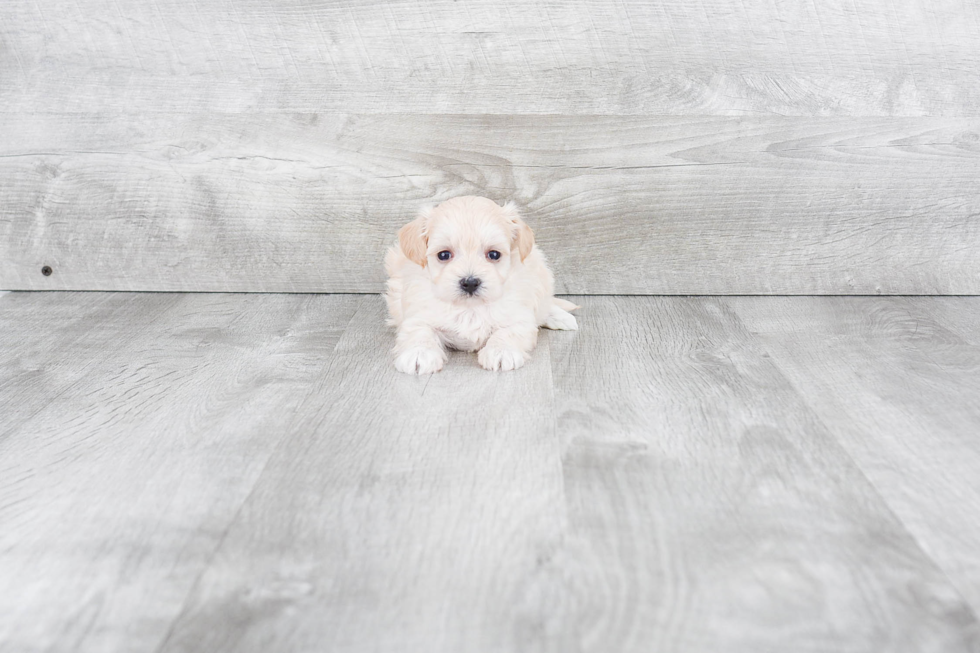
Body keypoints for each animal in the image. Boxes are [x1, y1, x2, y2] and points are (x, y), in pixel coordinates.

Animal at [384, 195, 580, 372]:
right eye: (444, 255)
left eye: (494, 254)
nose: (470, 283)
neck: (470, 308)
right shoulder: (417, 315)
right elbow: (419, 332)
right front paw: (418, 354)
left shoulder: (519, 318)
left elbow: (508, 331)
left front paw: (501, 352)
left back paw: (561, 317)